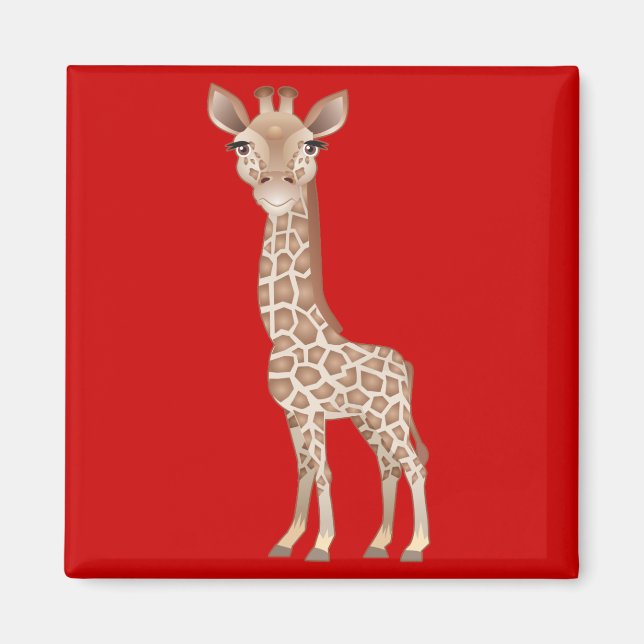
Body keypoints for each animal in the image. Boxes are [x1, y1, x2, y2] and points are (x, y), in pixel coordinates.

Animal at [207, 84, 430, 562]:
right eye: (241, 144)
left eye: (312, 145)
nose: (276, 188)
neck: (287, 331)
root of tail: (404, 365)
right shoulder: (291, 413)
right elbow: (306, 469)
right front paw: (286, 541)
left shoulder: (311, 411)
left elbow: (324, 471)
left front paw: (321, 547)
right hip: (368, 420)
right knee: (388, 465)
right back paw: (378, 544)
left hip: (390, 416)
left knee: (413, 463)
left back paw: (415, 546)